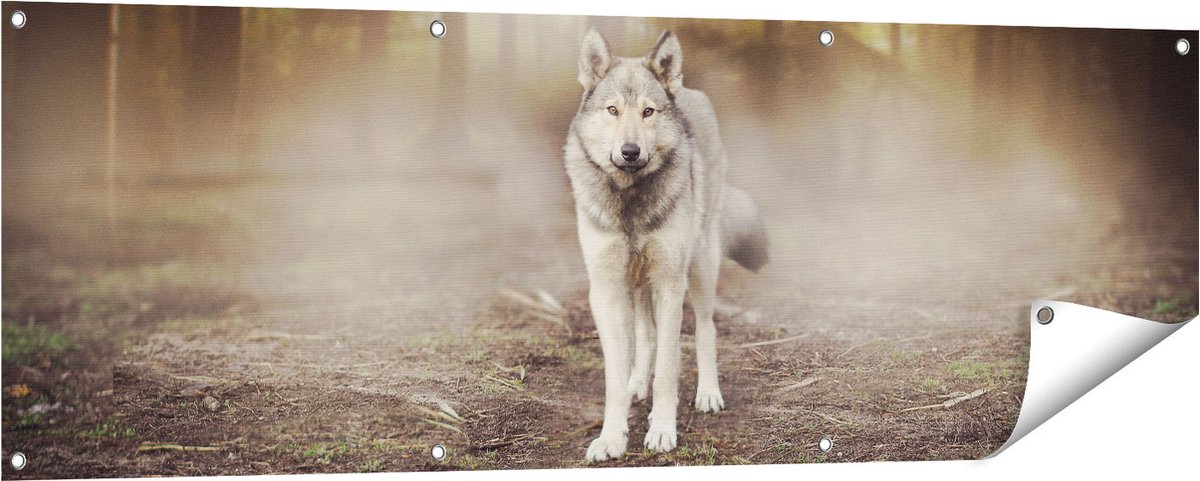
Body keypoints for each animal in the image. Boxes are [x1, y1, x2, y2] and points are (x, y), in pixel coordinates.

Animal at [564, 29, 769, 462]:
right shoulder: (606, 291)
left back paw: (707, 393)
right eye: (612, 110)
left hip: (701, 267)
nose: (630, 152)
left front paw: (661, 430)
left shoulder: (670, 284)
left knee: (705, 330)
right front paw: (612, 436)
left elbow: (669, 370)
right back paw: (636, 384)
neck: (631, 202)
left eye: (648, 112)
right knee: (647, 338)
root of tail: (688, 89)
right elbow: (615, 375)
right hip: (639, 284)